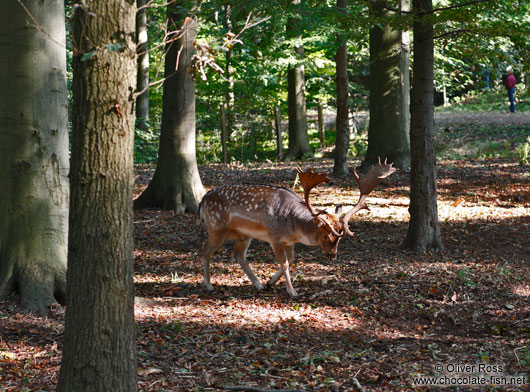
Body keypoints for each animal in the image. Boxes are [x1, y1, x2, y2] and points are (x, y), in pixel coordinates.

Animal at [196, 159, 394, 298]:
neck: (293, 227)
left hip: (243, 234)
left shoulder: (289, 242)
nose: (333, 256)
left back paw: (258, 284)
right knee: (205, 250)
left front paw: (270, 282)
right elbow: (284, 263)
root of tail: (203, 200)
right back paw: (209, 285)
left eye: (339, 237)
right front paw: (292, 292)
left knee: (238, 255)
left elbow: (291, 259)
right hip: (216, 227)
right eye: (325, 235)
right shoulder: (274, 237)